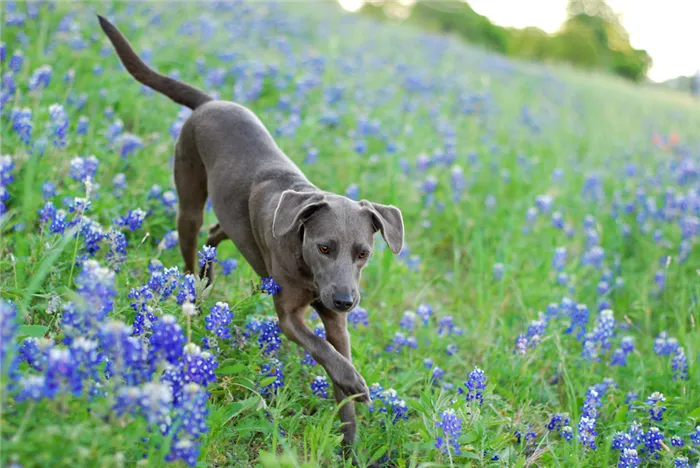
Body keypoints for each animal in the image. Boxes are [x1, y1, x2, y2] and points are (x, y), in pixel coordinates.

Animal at [98, 17, 404, 454]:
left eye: (363, 253)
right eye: (324, 247)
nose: (346, 300)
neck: (308, 268)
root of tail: (209, 102)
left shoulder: (335, 320)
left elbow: (336, 365)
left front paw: (350, 442)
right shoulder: (289, 316)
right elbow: (320, 349)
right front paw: (356, 384)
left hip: (231, 217)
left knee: (216, 233)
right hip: (188, 199)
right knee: (192, 247)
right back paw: (196, 294)